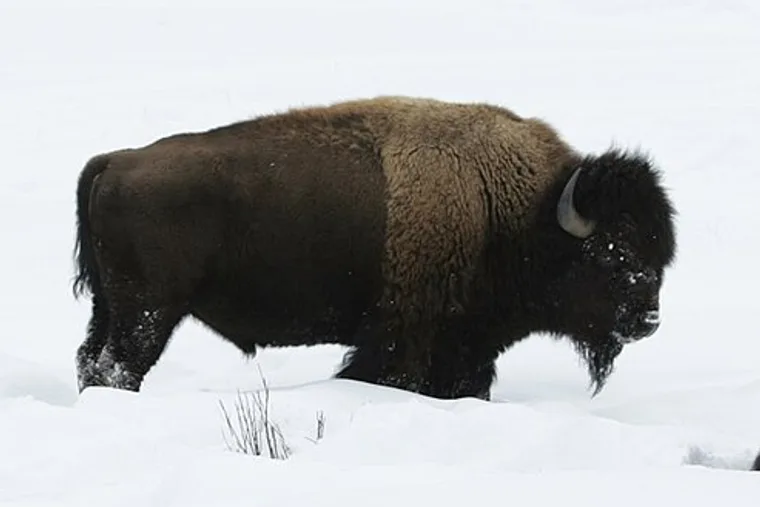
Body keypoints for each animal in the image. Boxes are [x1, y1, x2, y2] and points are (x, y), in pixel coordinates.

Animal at [72, 96, 677, 400]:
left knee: (91, 362)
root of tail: (115, 161)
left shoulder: (466, 351)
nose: (648, 321)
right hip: (149, 311)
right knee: (117, 368)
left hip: (112, 307)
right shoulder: (400, 342)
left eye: (661, 253)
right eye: (611, 253)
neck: (514, 208)